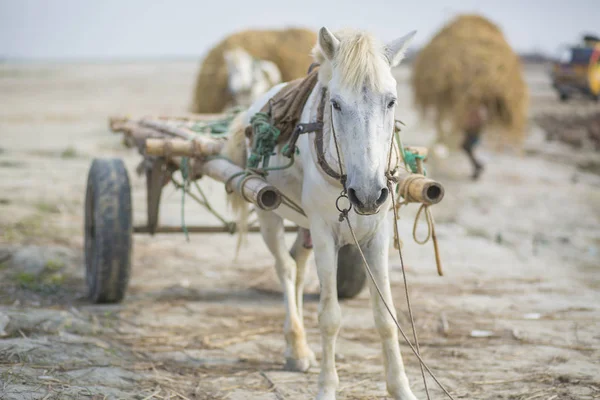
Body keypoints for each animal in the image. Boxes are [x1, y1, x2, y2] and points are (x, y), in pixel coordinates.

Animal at [223, 26, 420, 398]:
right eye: (336, 104)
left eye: (391, 101)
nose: (368, 194)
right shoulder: (325, 232)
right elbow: (330, 317)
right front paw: (327, 386)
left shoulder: (377, 235)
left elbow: (386, 318)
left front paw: (401, 387)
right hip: (269, 212)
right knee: (285, 269)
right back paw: (297, 348)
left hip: (305, 225)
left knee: (298, 266)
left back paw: (296, 348)